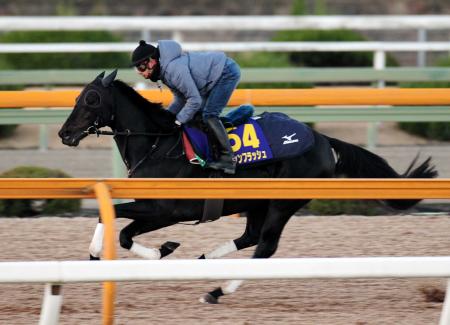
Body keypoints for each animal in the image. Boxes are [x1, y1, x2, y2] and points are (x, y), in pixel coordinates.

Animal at [59, 71, 436, 304]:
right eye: (77, 96)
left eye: (91, 99)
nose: (64, 134)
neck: (158, 143)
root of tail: (322, 139)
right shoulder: (153, 206)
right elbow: (114, 221)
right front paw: (102, 254)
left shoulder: (168, 210)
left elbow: (121, 228)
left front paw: (155, 251)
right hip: (257, 202)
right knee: (251, 237)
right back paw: (205, 260)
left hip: (282, 204)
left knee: (265, 247)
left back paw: (217, 291)